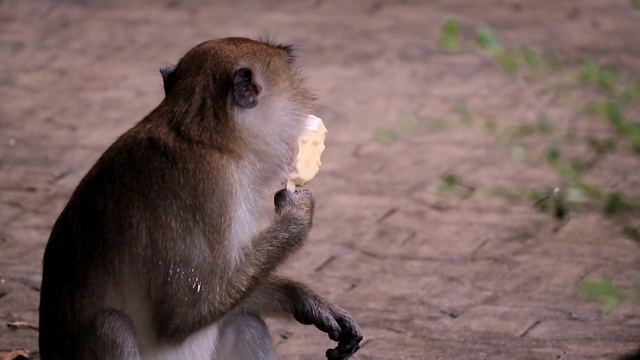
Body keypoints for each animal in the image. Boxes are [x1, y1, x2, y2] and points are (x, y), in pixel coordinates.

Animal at [38, 37, 360, 360]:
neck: (208, 138)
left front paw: (304, 299)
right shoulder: (212, 187)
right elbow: (181, 311)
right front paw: (297, 215)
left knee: (244, 321)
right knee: (112, 326)